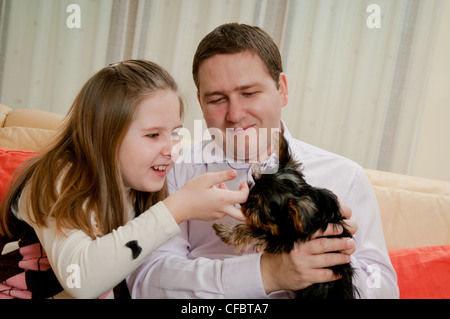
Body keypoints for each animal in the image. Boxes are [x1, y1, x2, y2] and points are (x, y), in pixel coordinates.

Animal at [214, 133, 358, 300]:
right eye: (255, 181)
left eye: (260, 208)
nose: (244, 202)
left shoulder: (282, 237)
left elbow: (253, 230)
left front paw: (225, 232)